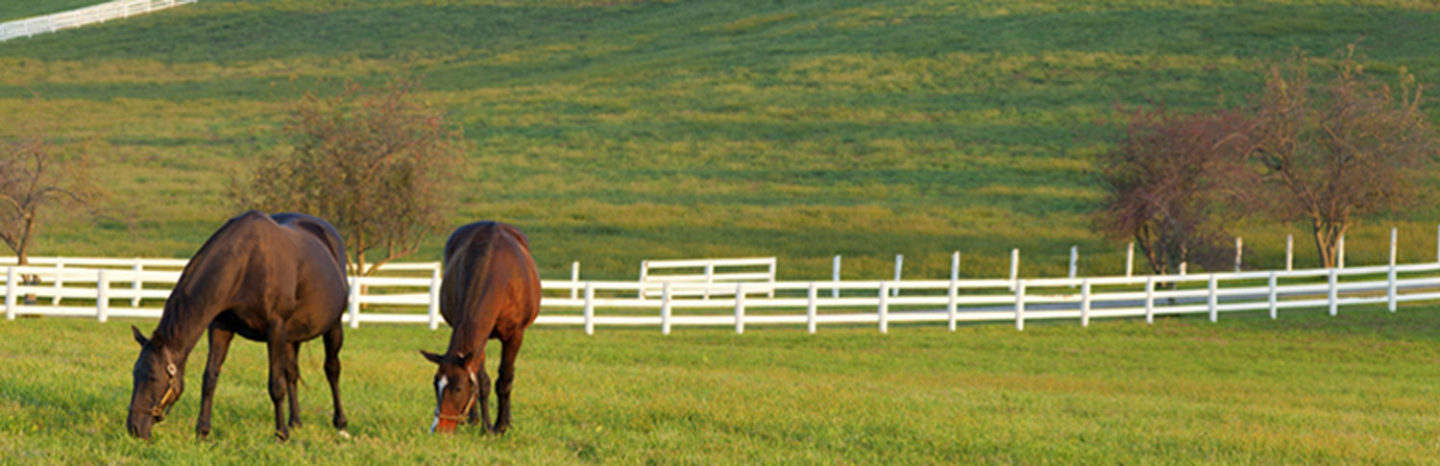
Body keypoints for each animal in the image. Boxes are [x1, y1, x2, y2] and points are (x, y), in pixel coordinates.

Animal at [124, 211, 348, 440]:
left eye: (152, 377)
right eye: (134, 374)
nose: (134, 428)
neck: (246, 264)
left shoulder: (275, 329)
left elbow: (276, 385)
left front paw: (281, 434)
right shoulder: (221, 327)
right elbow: (210, 378)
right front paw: (202, 431)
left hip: (333, 326)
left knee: (332, 369)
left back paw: (340, 423)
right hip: (292, 335)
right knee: (292, 373)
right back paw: (295, 422)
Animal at [426, 221, 544, 434]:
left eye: (458, 388)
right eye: (435, 383)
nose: (440, 428)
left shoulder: (515, 335)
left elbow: (505, 379)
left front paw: (500, 426)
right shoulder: (479, 340)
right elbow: (482, 382)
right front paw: (485, 425)